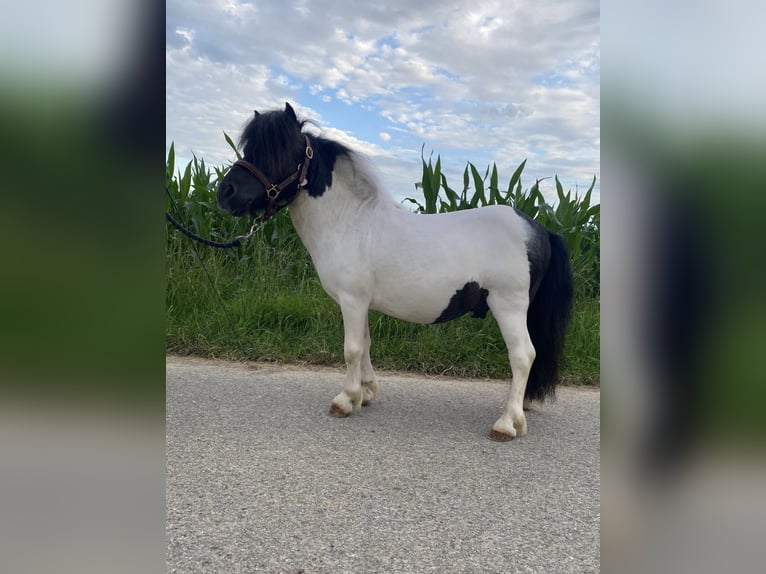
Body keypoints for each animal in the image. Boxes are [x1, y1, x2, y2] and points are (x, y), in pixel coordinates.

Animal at [216, 102, 576, 440]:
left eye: (279, 149)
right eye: (248, 147)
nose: (225, 193)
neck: (348, 221)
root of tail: (538, 229)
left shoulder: (351, 300)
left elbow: (352, 349)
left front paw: (345, 400)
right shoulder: (360, 303)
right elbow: (365, 344)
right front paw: (365, 394)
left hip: (508, 306)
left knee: (523, 355)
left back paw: (506, 423)